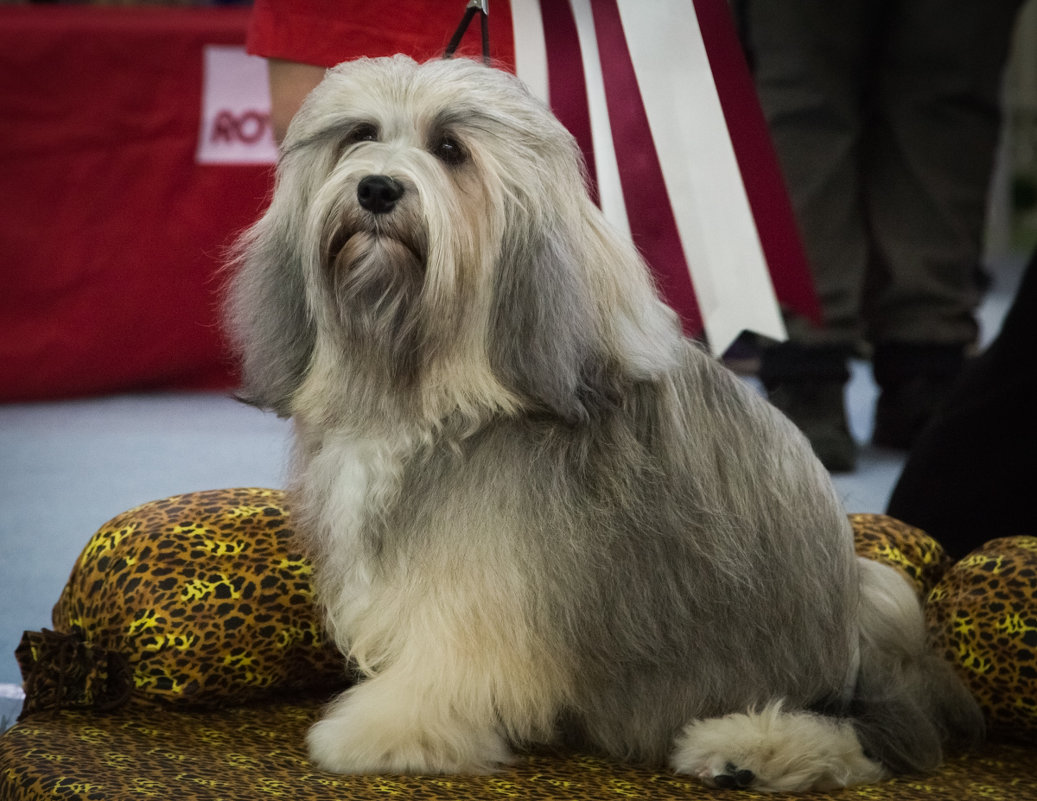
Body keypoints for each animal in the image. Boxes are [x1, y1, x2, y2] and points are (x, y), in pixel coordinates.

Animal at [225, 57, 978, 792]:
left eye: (450, 149)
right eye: (359, 136)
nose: (377, 188)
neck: (429, 382)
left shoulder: (481, 579)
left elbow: (448, 655)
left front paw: (385, 729)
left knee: (862, 738)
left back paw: (748, 749)